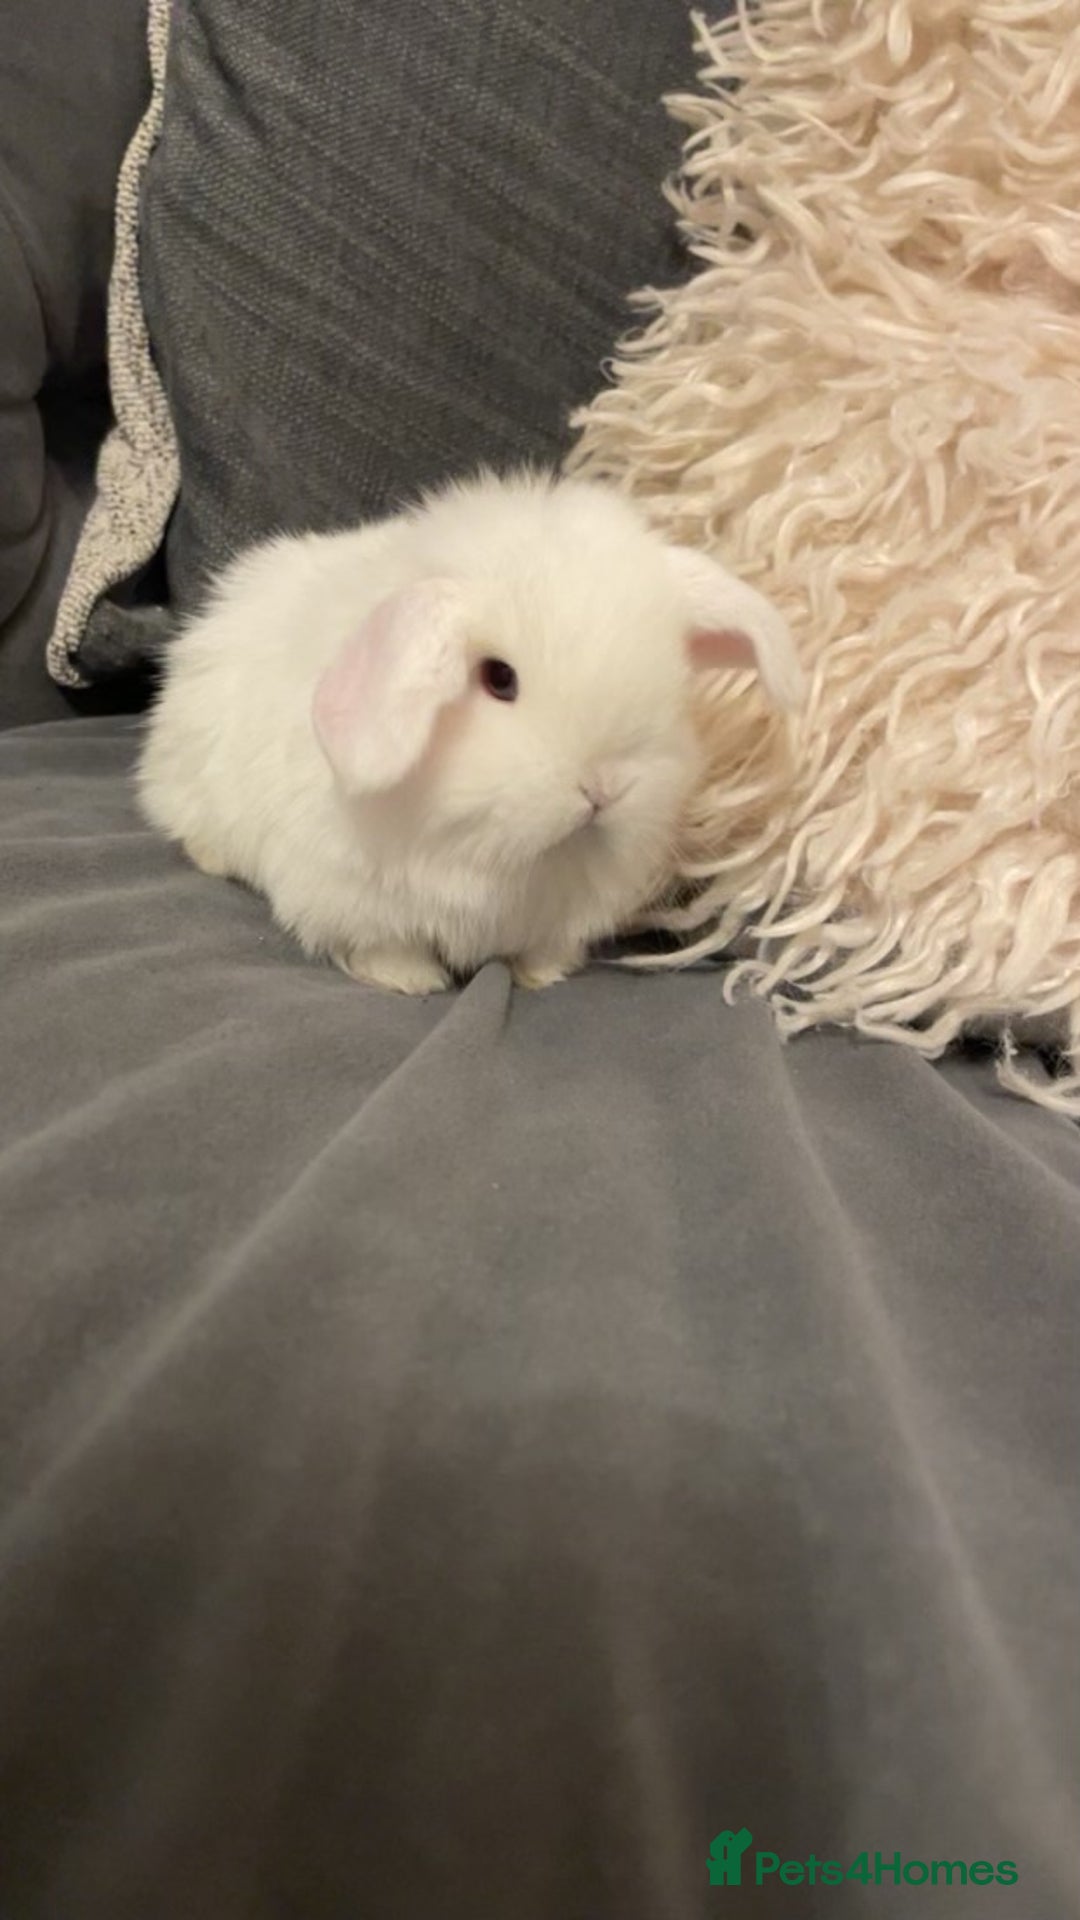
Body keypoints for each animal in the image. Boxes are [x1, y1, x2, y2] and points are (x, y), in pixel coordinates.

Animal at [136, 469, 804, 994]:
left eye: (670, 672)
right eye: (499, 678)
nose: (603, 790)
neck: (498, 857)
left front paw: (543, 975)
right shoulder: (352, 896)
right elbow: (384, 946)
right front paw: (410, 981)